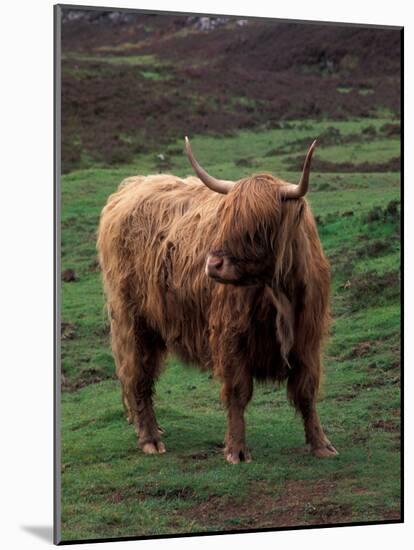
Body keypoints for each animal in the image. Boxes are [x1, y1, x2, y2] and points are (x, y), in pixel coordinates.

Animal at [98, 139, 338, 466]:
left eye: (259, 227)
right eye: (224, 219)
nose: (213, 264)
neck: (278, 293)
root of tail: (131, 187)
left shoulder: (307, 340)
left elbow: (306, 392)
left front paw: (320, 444)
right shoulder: (230, 335)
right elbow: (238, 392)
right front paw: (236, 449)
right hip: (132, 321)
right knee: (138, 377)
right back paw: (150, 438)